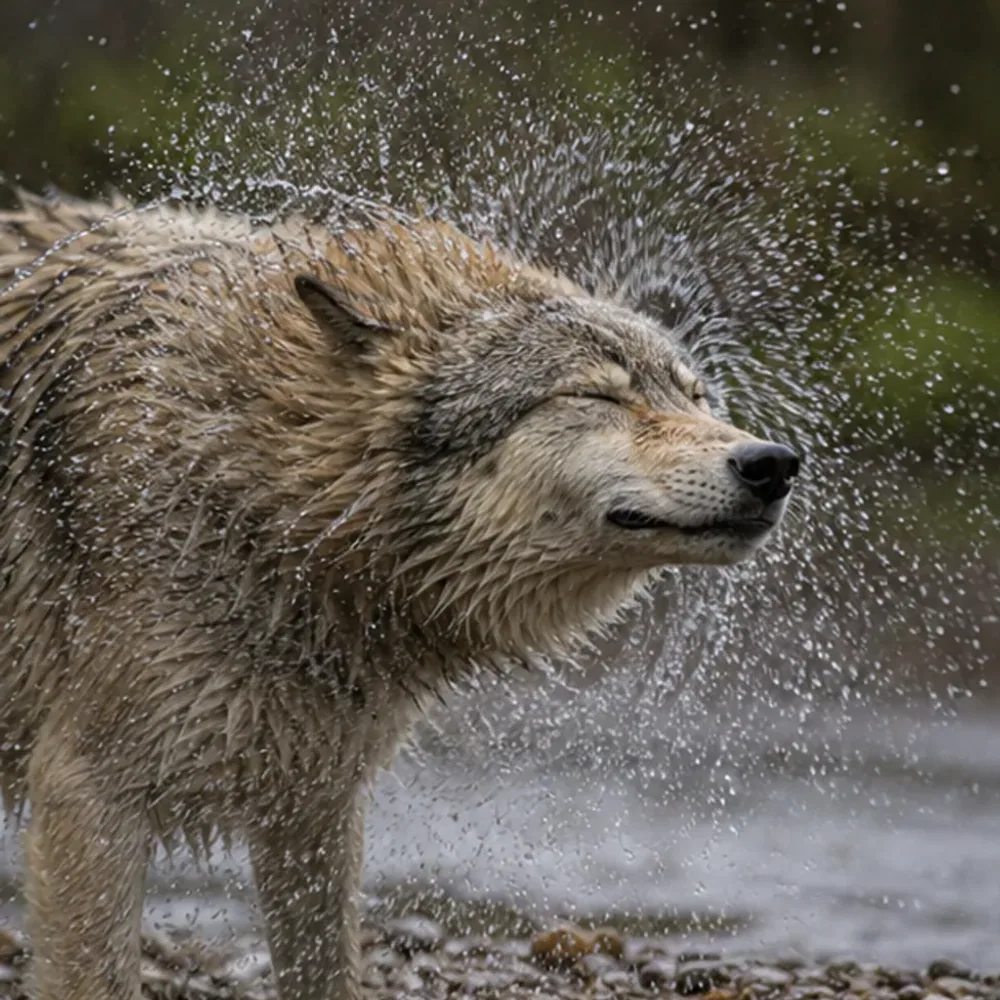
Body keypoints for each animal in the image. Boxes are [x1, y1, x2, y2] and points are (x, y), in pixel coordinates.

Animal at [0, 191, 799, 1000]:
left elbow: (326, 973)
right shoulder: (86, 793)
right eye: (596, 394)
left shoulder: (314, 803)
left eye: (694, 396)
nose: (774, 463)